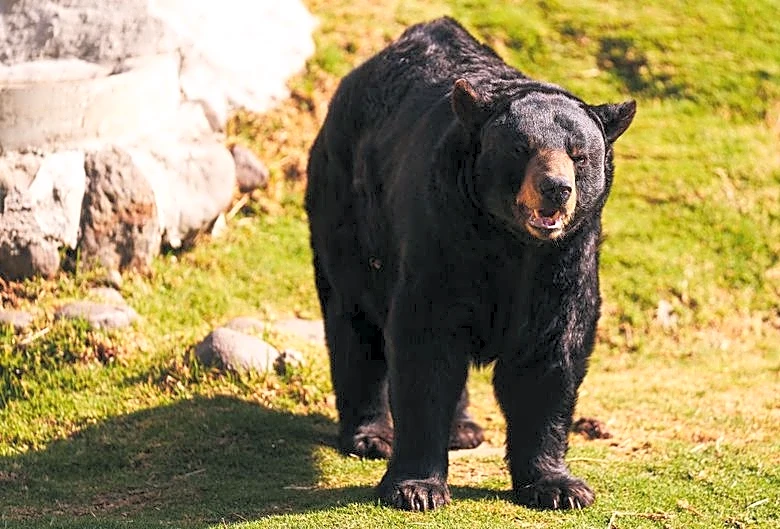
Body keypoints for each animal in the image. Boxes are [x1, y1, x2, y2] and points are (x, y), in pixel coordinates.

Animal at [305, 17, 635, 512]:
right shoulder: (444, 234)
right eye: (522, 149)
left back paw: (463, 428)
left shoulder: (563, 260)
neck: (509, 240)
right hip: (347, 210)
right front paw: (416, 487)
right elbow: (425, 343)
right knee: (354, 320)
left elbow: (551, 354)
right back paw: (370, 434)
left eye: (580, 155)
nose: (556, 188)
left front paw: (559, 485)